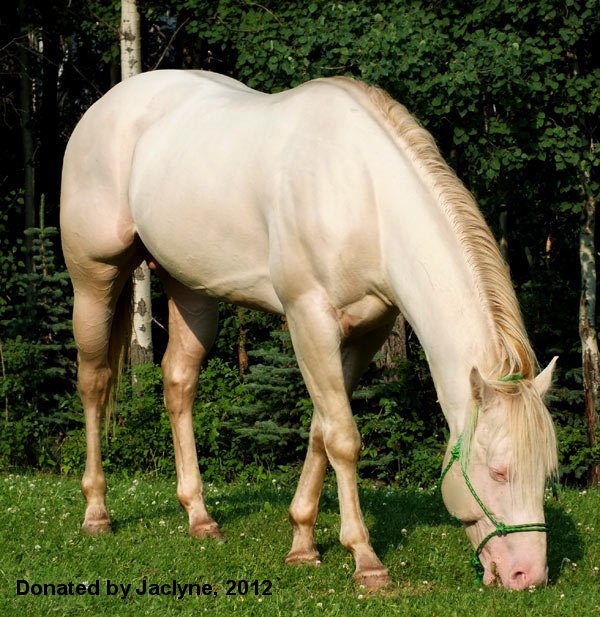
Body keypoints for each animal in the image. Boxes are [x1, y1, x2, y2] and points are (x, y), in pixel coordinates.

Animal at [61, 71, 556, 592]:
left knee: (179, 384)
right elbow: (342, 438)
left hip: (190, 287)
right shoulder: (308, 319)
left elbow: (322, 430)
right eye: (498, 472)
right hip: (94, 278)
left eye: (546, 474)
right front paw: (365, 559)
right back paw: (96, 512)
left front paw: (302, 541)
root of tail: (107, 104)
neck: (365, 196)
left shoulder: (365, 332)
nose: (528, 574)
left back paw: (199, 516)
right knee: (94, 383)